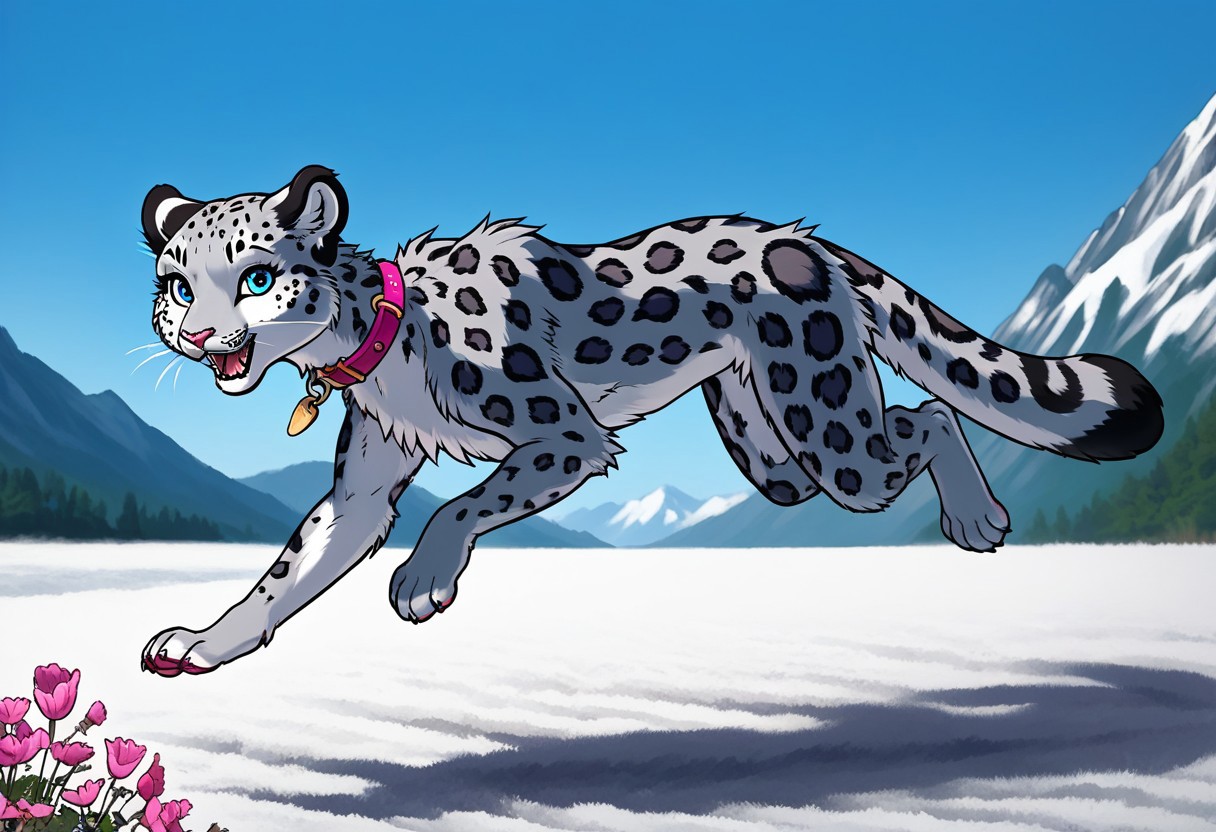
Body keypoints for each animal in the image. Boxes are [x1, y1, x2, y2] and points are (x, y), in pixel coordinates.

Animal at [139, 165, 1163, 676]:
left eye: (257, 275)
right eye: (178, 282)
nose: (198, 334)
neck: (368, 351)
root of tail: (805, 239)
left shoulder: (562, 435)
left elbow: (462, 504)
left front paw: (424, 580)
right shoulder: (364, 485)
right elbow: (289, 570)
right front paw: (204, 643)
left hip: (831, 428)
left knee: (926, 418)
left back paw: (978, 518)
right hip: (769, 446)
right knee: (887, 430)